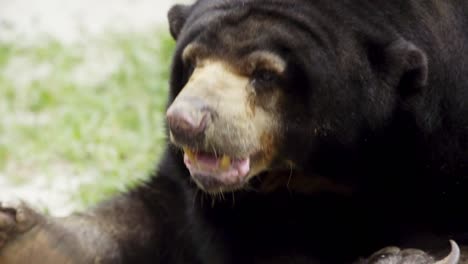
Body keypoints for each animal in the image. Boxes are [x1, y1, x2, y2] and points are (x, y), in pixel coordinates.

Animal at [0, 0, 468, 262]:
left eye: (265, 74)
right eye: (192, 60)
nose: (184, 122)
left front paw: (405, 256)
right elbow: (156, 216)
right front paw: (18, 235)